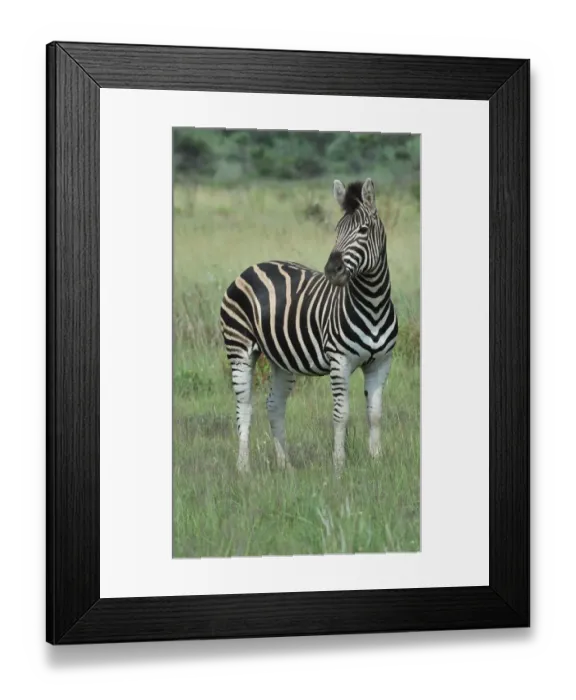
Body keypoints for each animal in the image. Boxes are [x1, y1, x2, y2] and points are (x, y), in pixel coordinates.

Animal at [219, 177, 399, 475]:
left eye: (363, 230)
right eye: (337, 230)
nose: (332, 270)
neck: (372, 302)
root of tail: (251, 267)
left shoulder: (381, 362)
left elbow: (375, 414)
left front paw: (377, 462)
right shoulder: (339, 361)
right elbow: (341, 414)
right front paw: (339, 467)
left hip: (281, 358)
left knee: (274, 405)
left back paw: (286, 466)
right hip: (239, 348)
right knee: (244, 406)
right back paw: (243, 468)